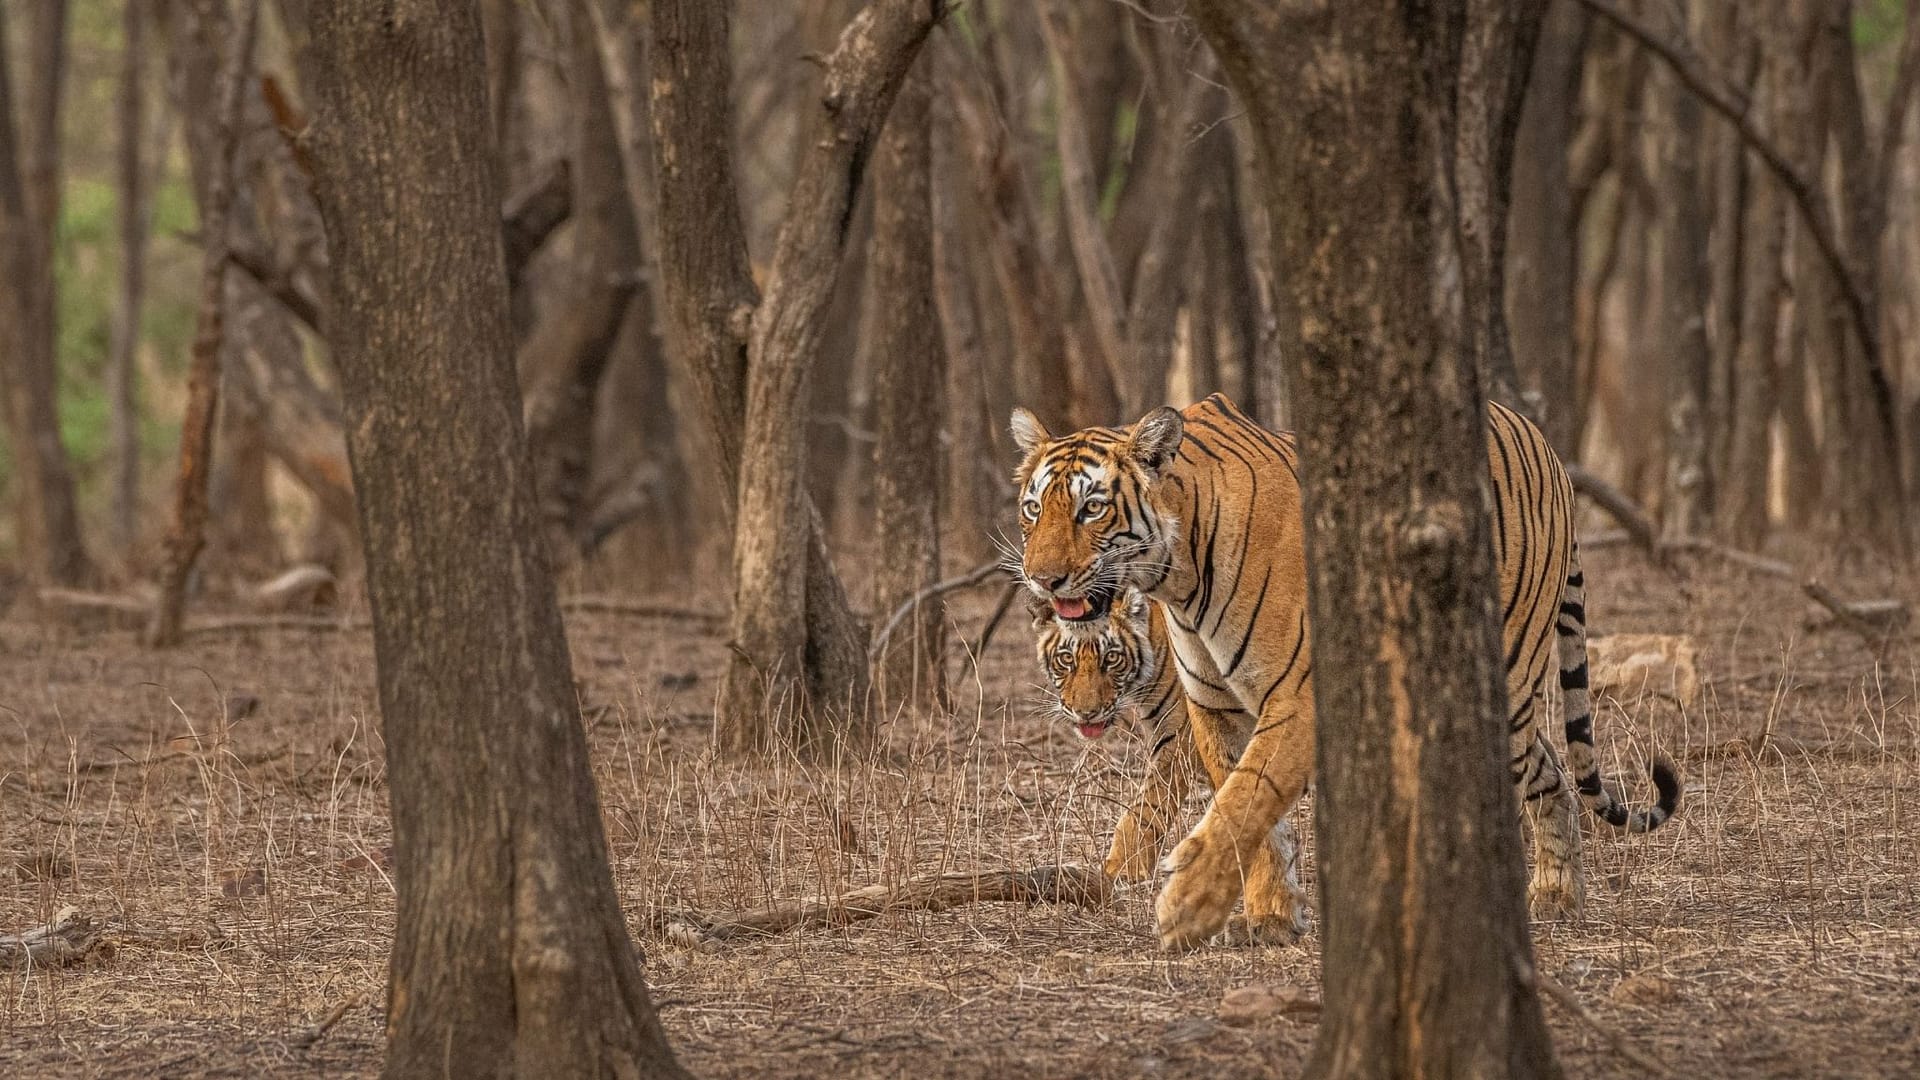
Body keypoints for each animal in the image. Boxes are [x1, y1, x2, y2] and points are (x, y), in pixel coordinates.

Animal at [1012, 393, 1680, 949]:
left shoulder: (1295, 698)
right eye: (1032, 509)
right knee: (1553, 775)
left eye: (1092, 509)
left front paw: (1185, 906)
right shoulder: (1214, 707)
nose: (1042, 578)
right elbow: (1251, 816)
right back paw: (1557, 897)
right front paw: (1271, 916)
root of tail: (1544, 441)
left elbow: (1242, 799)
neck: (1175, 580)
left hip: (1509, 674)